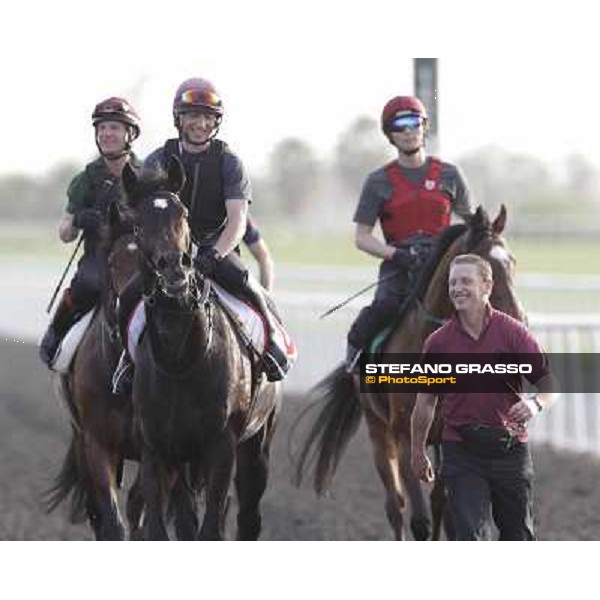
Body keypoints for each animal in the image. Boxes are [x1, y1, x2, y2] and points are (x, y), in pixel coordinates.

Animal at [121, 157, 282, 540]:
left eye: (183, 213)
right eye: (137, 223)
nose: (174, 268)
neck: (182, 360)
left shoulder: (222, 446)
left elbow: (210, 527)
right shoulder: (159, 448)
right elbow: (168, 526)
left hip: (257, 445)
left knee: (249, 515)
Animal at [296, 205, 524, 540]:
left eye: (512, 262)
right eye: (485, 268)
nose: (518, 318)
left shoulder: (447, 438)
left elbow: (444, 505)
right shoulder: (404, 434)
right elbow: (419, 520)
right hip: (378, 428)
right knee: (395, 504)